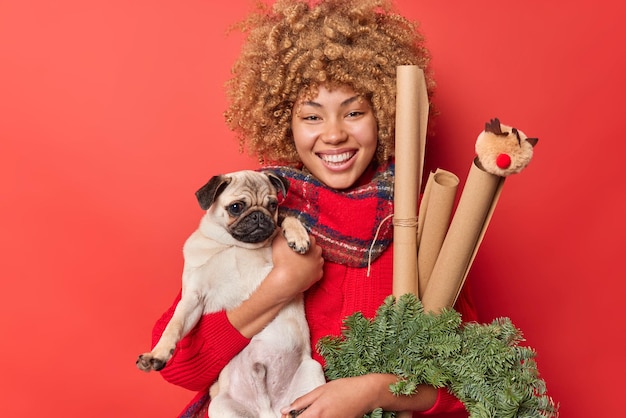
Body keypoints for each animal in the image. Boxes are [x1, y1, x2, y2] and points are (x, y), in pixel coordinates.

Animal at [134, 170, 324, 418]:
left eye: (272, 205)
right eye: (236, 207)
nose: (259, 216)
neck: (235, 245)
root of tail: (268, 411)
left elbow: (288, 218)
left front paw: (298, 236)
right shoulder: (193, 298)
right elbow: (173, 326)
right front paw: (158, 354)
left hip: (313, 370)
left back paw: (297, 410)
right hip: (220, 405)